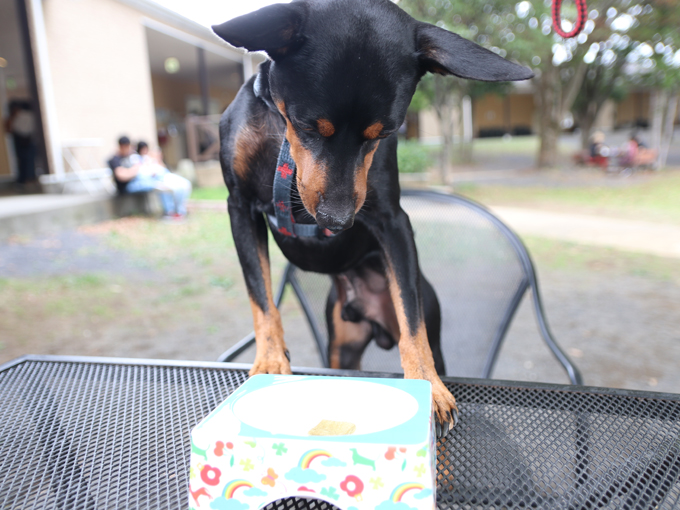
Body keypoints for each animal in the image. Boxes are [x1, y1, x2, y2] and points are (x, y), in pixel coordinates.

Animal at [212, 0, 532, 434]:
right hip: (341, 343)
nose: (336, 220)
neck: (281, 137)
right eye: (307, 124)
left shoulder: (391, 221)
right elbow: (261, 298)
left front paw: (428, 387)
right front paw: (271, 361)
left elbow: (411, 317)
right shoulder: (239, 207)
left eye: (384, 133)